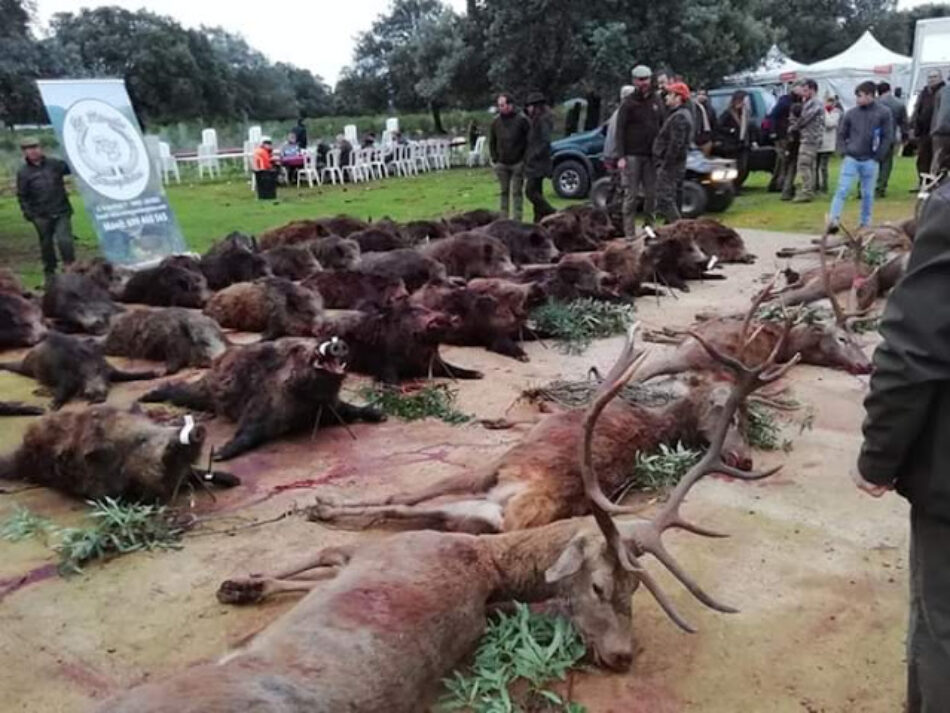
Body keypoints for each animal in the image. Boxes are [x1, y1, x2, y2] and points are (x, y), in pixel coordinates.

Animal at [95, 328, 796, 712]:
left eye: (637, 593)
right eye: (604, 586)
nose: (624, 656)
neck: (484, 569)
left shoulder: (381, 551)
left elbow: (326, 552)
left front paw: (246, 579)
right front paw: (258, 569)